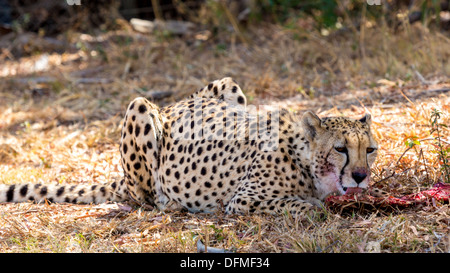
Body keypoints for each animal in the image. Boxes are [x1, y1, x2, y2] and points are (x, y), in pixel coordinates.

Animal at [0, 77, 378, 217]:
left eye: (370, 150)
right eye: (341, 149)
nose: (360, 176)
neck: (305, 158)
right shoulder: (244, 201)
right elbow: (302, 205)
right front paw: (314, 204)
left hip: (227, 84)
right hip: (140, 109)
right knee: (146, 196)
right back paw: (171, 202)